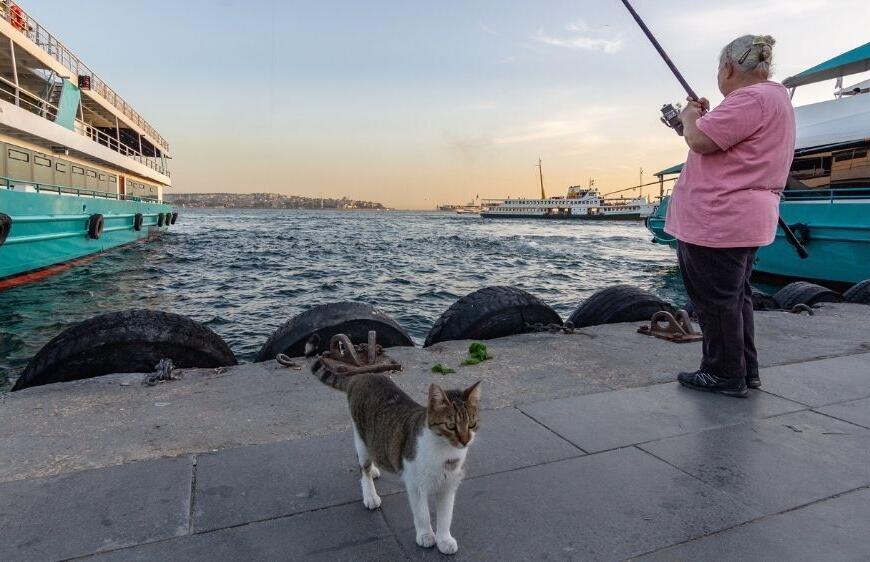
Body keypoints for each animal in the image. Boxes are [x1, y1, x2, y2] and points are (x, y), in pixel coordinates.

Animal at [306, 334, 484, 552]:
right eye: (451, 426)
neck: (444, 453)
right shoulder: (415, 484)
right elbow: (422, 513)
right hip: (361, 436)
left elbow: (445, 515)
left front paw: (444, 539)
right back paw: (370, 494)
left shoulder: (448, 486)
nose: (466, 440)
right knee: (363, 468)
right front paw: (426, 535)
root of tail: (361, 376)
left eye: (472, 424)